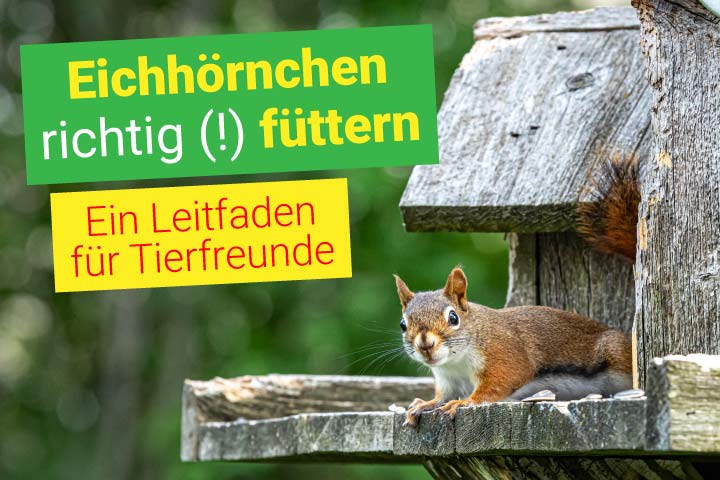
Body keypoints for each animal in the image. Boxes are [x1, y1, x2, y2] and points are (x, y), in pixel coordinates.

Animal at [395, 154, 640, 427]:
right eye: (403, 324)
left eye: (453, 317)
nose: (425, 344)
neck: (456, 362)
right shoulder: (448, 380)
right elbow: (441, 396)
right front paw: (423, 404)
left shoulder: (504, 355)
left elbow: (496, 385)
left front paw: (463, 402)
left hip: (615, 351)